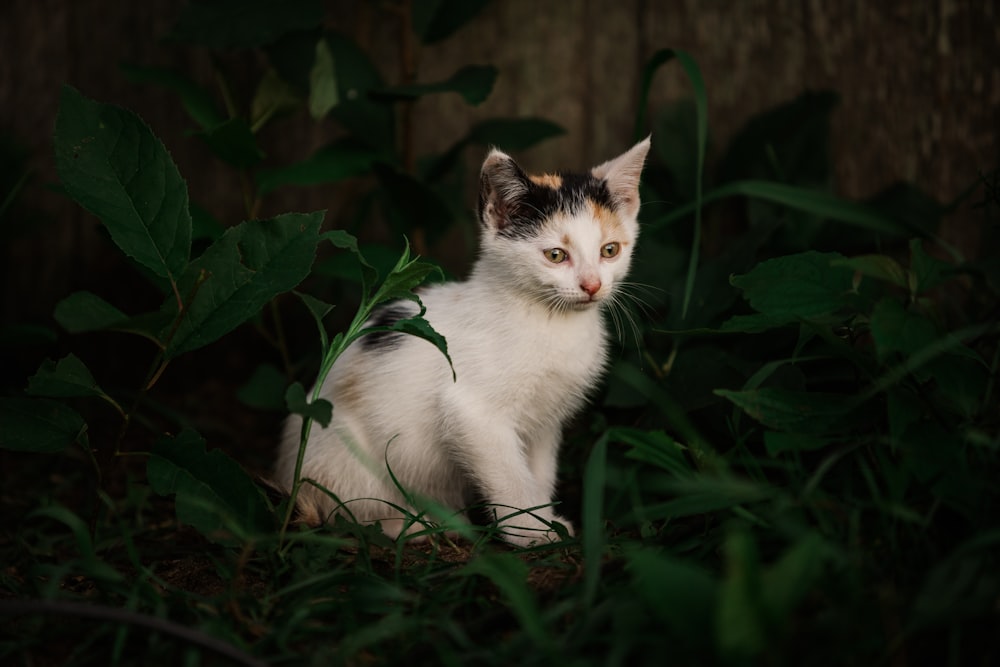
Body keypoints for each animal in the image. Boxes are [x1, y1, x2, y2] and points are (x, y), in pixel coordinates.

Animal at [276, 137, 648, 548]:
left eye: (610, 250)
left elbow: (538, 470)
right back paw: (417, 524)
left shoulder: (545, 421)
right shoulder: (472, 412)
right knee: (346, 512)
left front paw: (543, 516)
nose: (592, 285)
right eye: (556, 255)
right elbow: (508, 474)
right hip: (339, 449)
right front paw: (531, 532)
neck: (550, 320)